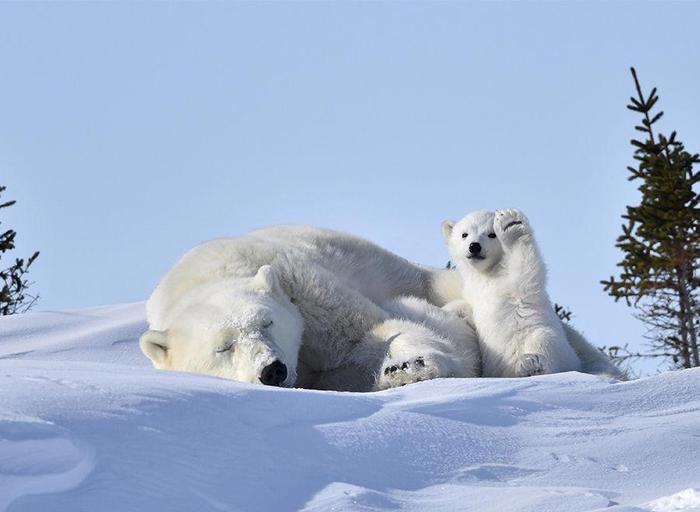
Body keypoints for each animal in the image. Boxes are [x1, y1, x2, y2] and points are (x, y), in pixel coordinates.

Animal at [139, 225, 478, 392]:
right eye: (223, 348)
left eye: (267, 322)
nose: (272, 370)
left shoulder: (301, 288)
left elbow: (369, 331)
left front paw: (411, 367)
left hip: (396, 270)